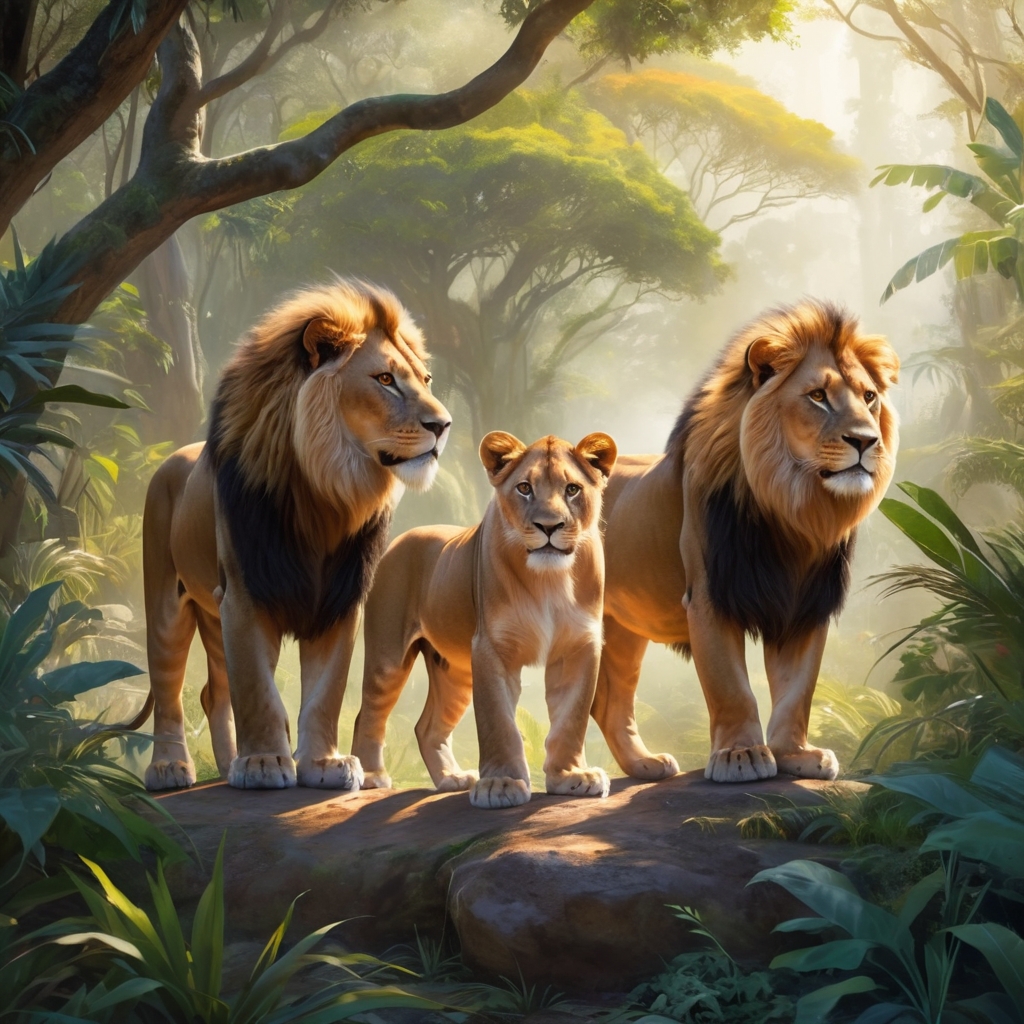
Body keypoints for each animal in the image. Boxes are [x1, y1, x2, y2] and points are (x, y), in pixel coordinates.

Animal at [137, 278, 451, 791]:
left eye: (425, 380)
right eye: (385, 380)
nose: (442, 426)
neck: (326, 491)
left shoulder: (339, 598)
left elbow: (326, 689)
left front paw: (324, 764)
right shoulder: (246, 594)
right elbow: (257, 689)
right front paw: (264, 763)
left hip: (214, 612)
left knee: (213, 692)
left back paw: (227, 764)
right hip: (167, 600)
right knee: (168, 686)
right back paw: (169, 767)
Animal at [351, 430, 618, 808]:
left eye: (572, 489)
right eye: (524, 488)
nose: (549, 526)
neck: (550, 579)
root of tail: (403, 536)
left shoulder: (579, 648)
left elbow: (572, 717)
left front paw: (571, 776)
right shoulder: (492, 648)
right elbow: (498, 721)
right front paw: (501, 784)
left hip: (455, 671)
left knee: (427, 726)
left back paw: (451, 778)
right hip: (388, 658)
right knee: (369, 713)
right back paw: (371, 776)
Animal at [590, 300, 899, 783]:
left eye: (869, 397)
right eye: (817, 396)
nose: (867, 441)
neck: (792, 510)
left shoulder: (804, 604)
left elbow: (797, 690)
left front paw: (797, 754)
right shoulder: (710, 596)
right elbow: (730, 685)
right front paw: (741, 755)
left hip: (623, 626)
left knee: (608, 703)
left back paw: (644, 764)